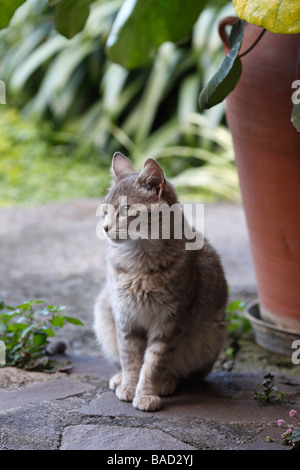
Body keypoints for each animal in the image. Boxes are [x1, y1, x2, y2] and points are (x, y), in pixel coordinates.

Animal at [94, 152, 227, 410]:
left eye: (126, 209)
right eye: (105, 210)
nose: (104, 227)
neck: (138, 266)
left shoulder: (169, 321)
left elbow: (153, 363)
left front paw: (146, 393)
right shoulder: (125, 317)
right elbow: (130, 357)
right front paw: (129, 385)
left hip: (208, 338)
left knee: (185, 373)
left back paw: (167, 381)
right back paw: (119, 378)